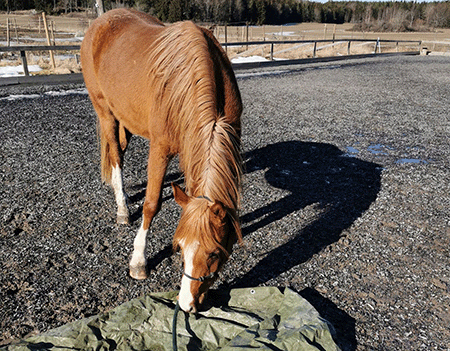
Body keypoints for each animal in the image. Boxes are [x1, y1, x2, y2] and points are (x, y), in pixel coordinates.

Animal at [81, 9, 243, 314]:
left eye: (214, 253)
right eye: (178, 248)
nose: (187, 304)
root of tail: (101, 21)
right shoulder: (160, 148)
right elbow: (152, 204)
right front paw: (138, 261)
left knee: (120, 149)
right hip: (105, 111)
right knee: (116, 155)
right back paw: (122, 208)